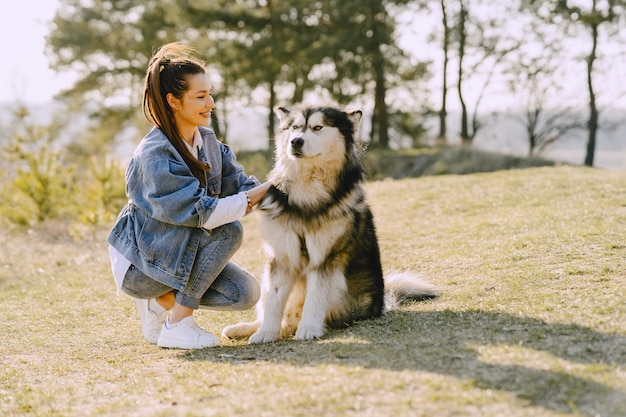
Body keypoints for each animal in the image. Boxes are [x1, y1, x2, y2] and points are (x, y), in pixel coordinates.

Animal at [222, 102, 436, 342]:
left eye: (318, 127)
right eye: (294, 127)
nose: (295, 141)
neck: (307, 192)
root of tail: (382, 301)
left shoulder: (326, 258)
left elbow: (316, 296)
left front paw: (308, 329)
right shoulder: (282, 256)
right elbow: (274, 301)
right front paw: (265, 333)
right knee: (277, 312)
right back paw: (243, 328)